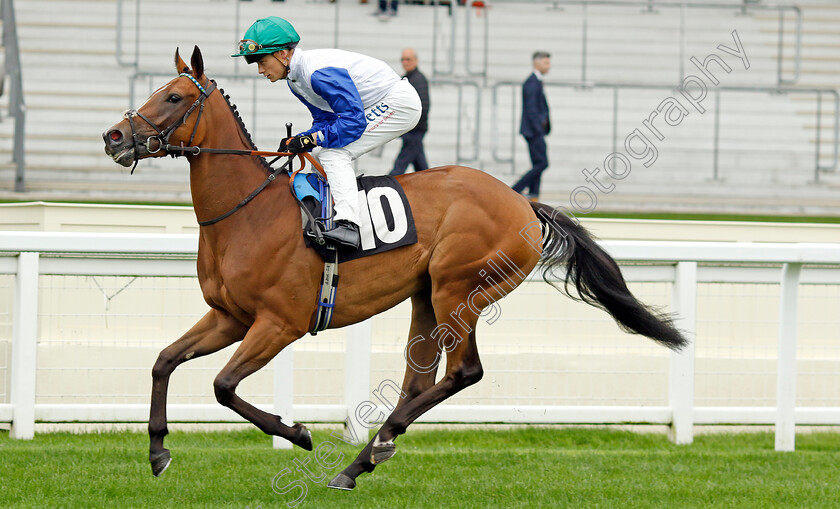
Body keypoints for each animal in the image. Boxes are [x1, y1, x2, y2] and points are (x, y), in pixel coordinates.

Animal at [101, 47, 684, 488]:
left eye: (174, 97)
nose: (114, 137)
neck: (247, 213)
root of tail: (523, 204)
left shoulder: (279, 324)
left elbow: (223, 386)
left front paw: (299, 433)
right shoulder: (230, 317)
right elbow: (163, 361)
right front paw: (158, 453)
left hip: (457, 288)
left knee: (463, 372)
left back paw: (371, 448)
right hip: (426, 295)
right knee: (417, 379)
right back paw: (366, 456)